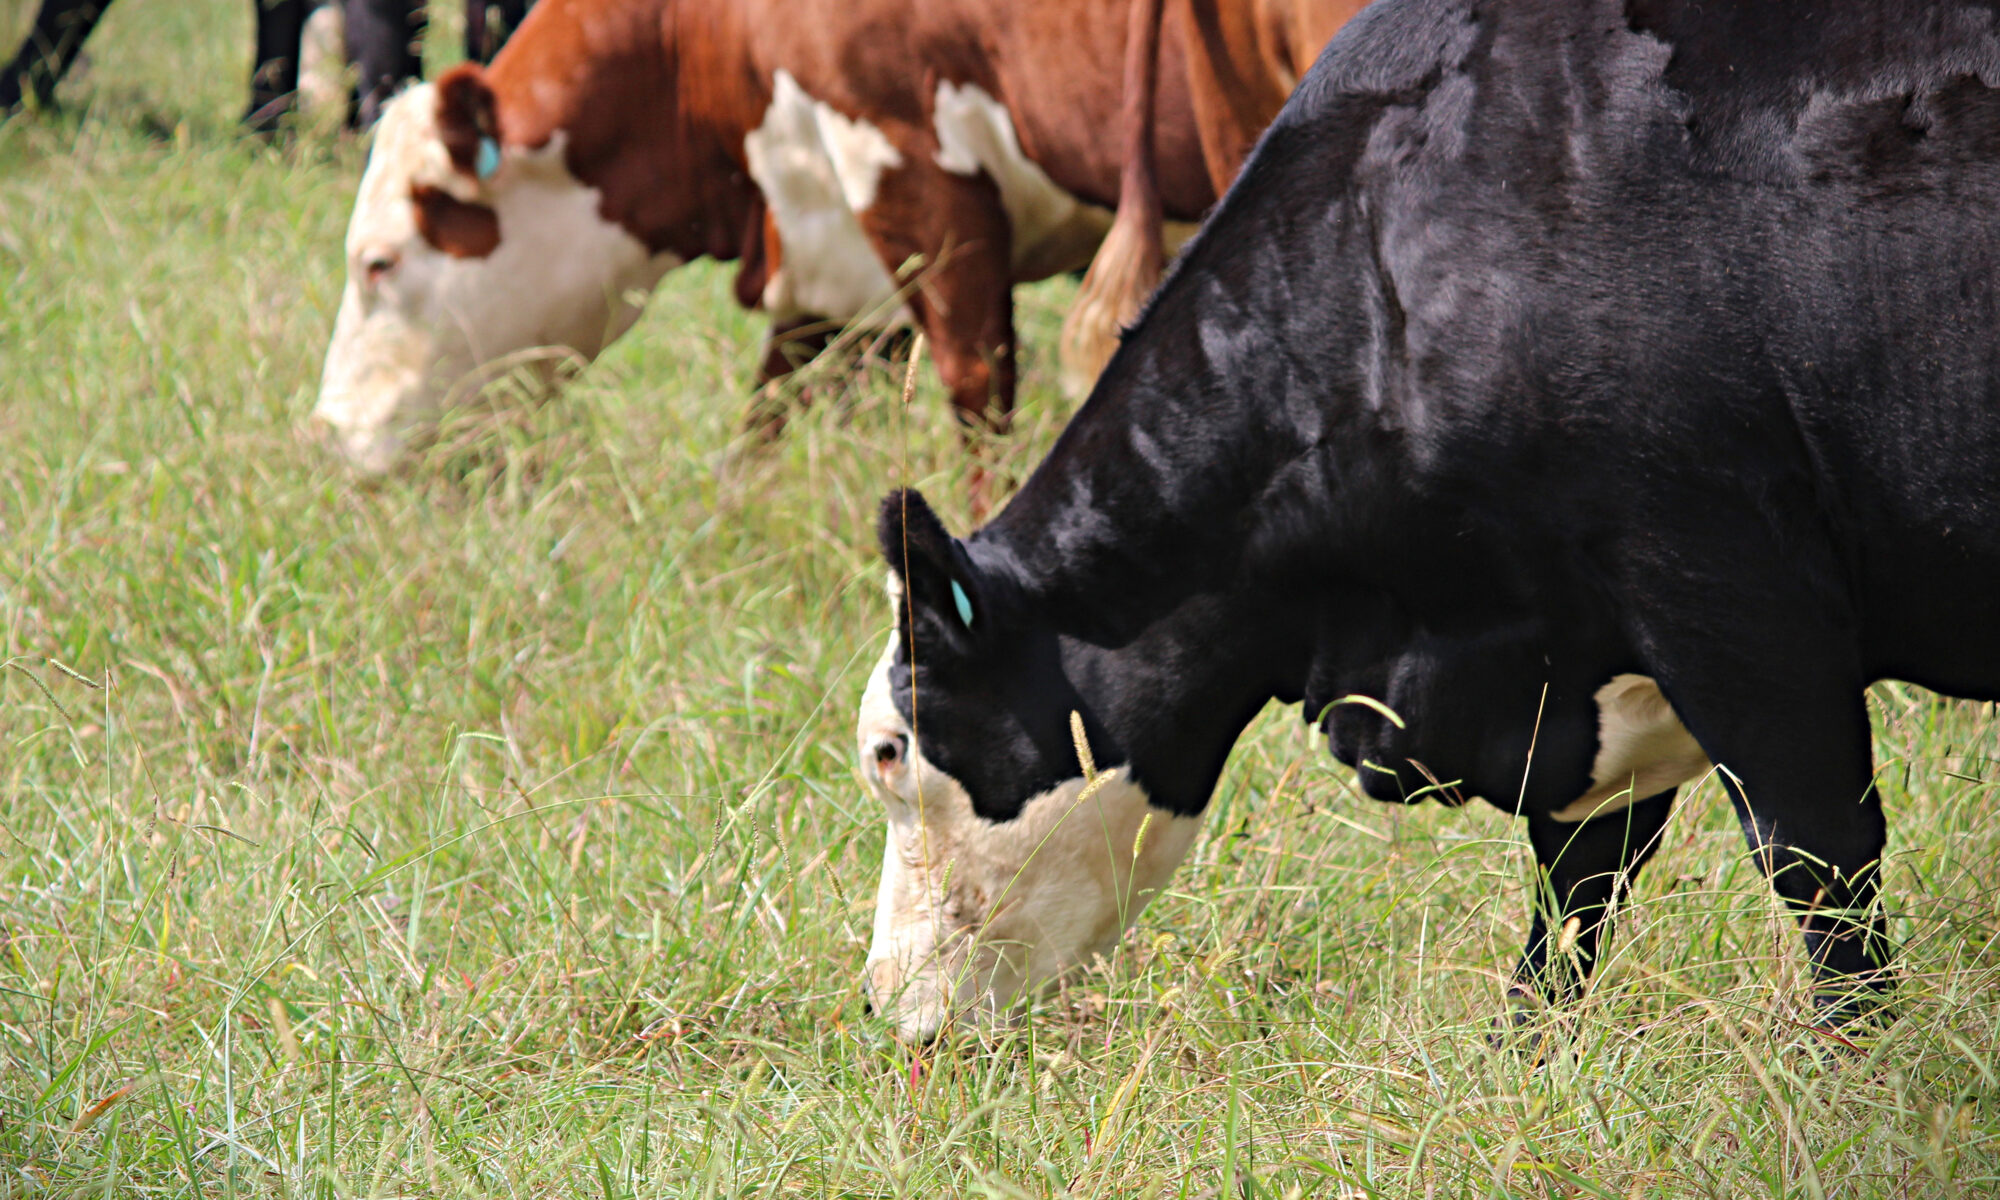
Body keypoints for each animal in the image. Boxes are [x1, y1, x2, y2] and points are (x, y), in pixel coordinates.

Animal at [308, 0, 1365, 474]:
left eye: (380, 263)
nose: (329, 433)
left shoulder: (913, 178)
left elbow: (979, 400)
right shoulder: (832, 256)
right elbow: (773, 412)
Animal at [855, 0, 2000, 1044]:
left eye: (888, 754)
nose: (875, 1005)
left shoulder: (1726, 595)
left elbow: (1814, 858)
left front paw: (1858, 1068)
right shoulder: (1582, 663)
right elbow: (1574, 887)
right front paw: (1527, 1057)